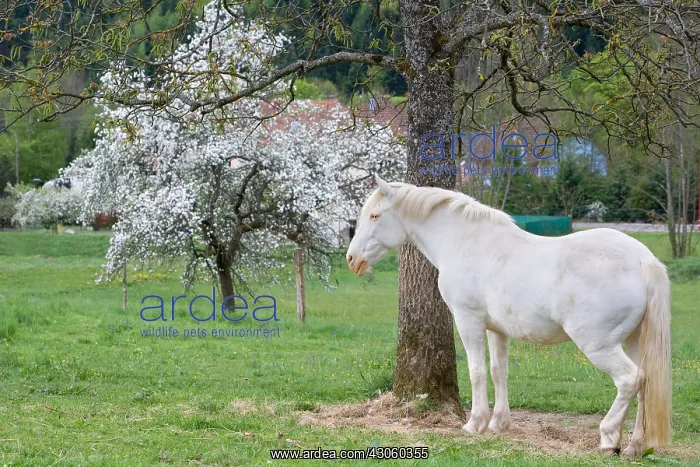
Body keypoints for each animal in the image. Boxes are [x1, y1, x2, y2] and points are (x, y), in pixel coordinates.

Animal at [345, 176, 672, 457]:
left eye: (374, 216)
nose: (351, 259)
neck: (463, 240)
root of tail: (643, 260)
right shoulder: (496, 329)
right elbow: (498, 371)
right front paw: (498, 424)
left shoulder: (468, 320)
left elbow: (477, 371)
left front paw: (474, 423)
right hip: (634, 340)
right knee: (644, 385)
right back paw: (634, 446)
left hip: (598, 345)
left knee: (629, 379)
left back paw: (609, 438)